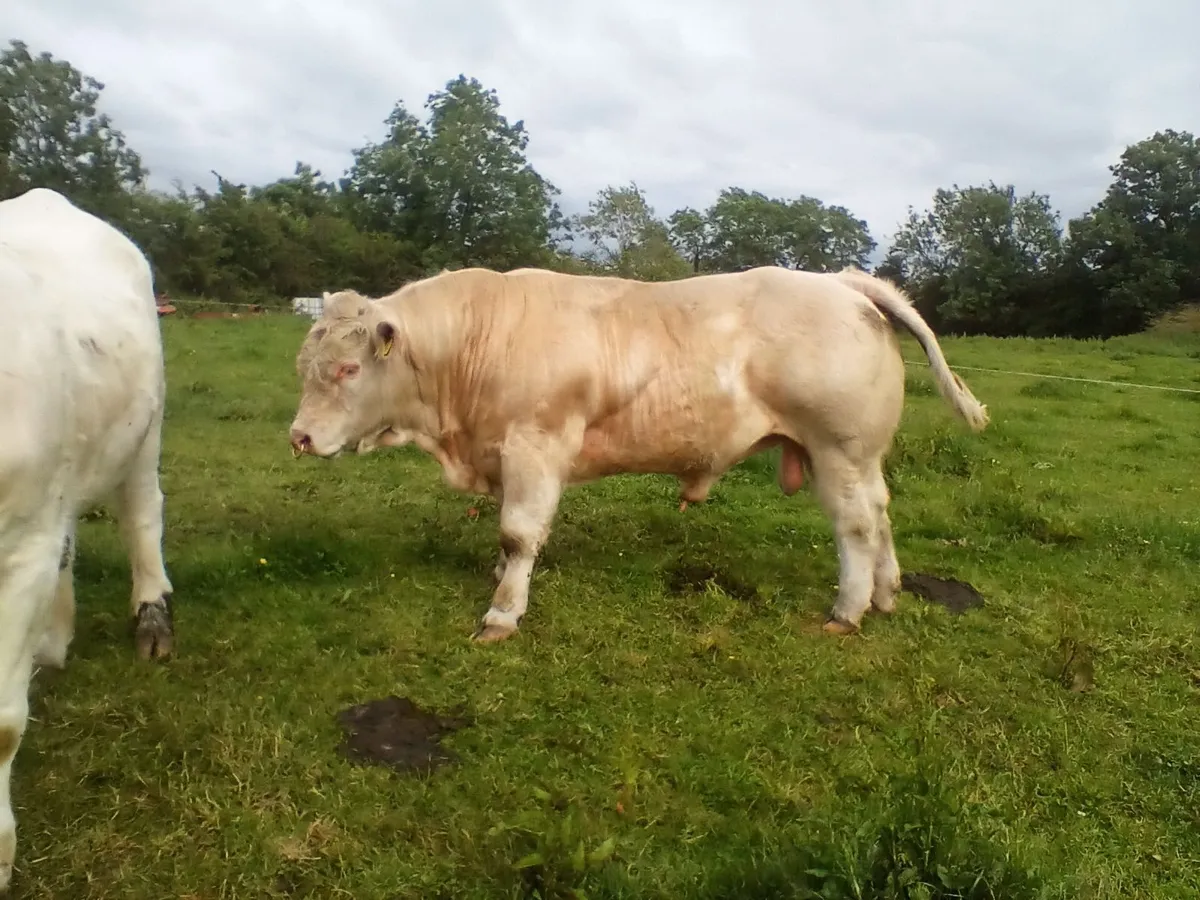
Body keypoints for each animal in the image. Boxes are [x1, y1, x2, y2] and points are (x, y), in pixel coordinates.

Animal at [288, 265, 988, 645]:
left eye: (349, 368)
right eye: (305, 365)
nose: (300, 438)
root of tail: (841, 283)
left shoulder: (535, 446)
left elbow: (518, 533)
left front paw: (502, 612)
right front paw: (500, 580)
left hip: (838, 449)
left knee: (856, 526)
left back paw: (848, 610)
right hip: (858, 456)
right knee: (881, 513)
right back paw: (886, 595)